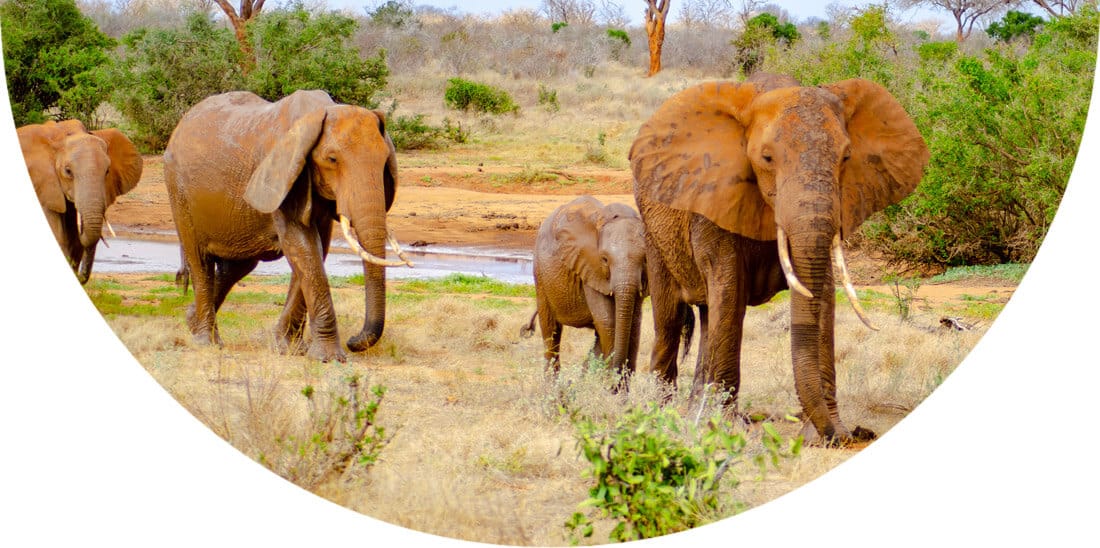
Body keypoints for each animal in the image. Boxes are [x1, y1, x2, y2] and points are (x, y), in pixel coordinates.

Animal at [165, 89, 413, 363]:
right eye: (332, 159)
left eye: (384, 161)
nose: (353, 341)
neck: (321, 110)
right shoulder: (282, 177)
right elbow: (303, 246)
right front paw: (328, 358)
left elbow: (315, 250)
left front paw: (289, 349)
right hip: (178, 192)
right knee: (201, 260)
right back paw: (207, 342)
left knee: (237, 267)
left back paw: (191, 321)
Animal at [517, 195, 646, 380]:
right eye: (604, 259)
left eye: (645, 259)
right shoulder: (589, 266)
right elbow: (607, 320)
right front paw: (610, 382)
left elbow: (634, 324)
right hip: (540, 274)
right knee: (551, 331)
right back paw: (552, 386)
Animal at [629, 73, 928, 444]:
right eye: (767, 158)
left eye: (846, 157)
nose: (854, 435)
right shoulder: (716, 197)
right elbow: (729, 287)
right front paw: (725, 429)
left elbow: (822, 294)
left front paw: (824, 435)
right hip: (653, 233)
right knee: (670, 319)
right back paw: (662, 415)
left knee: (709, 316)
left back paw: (694, 416)